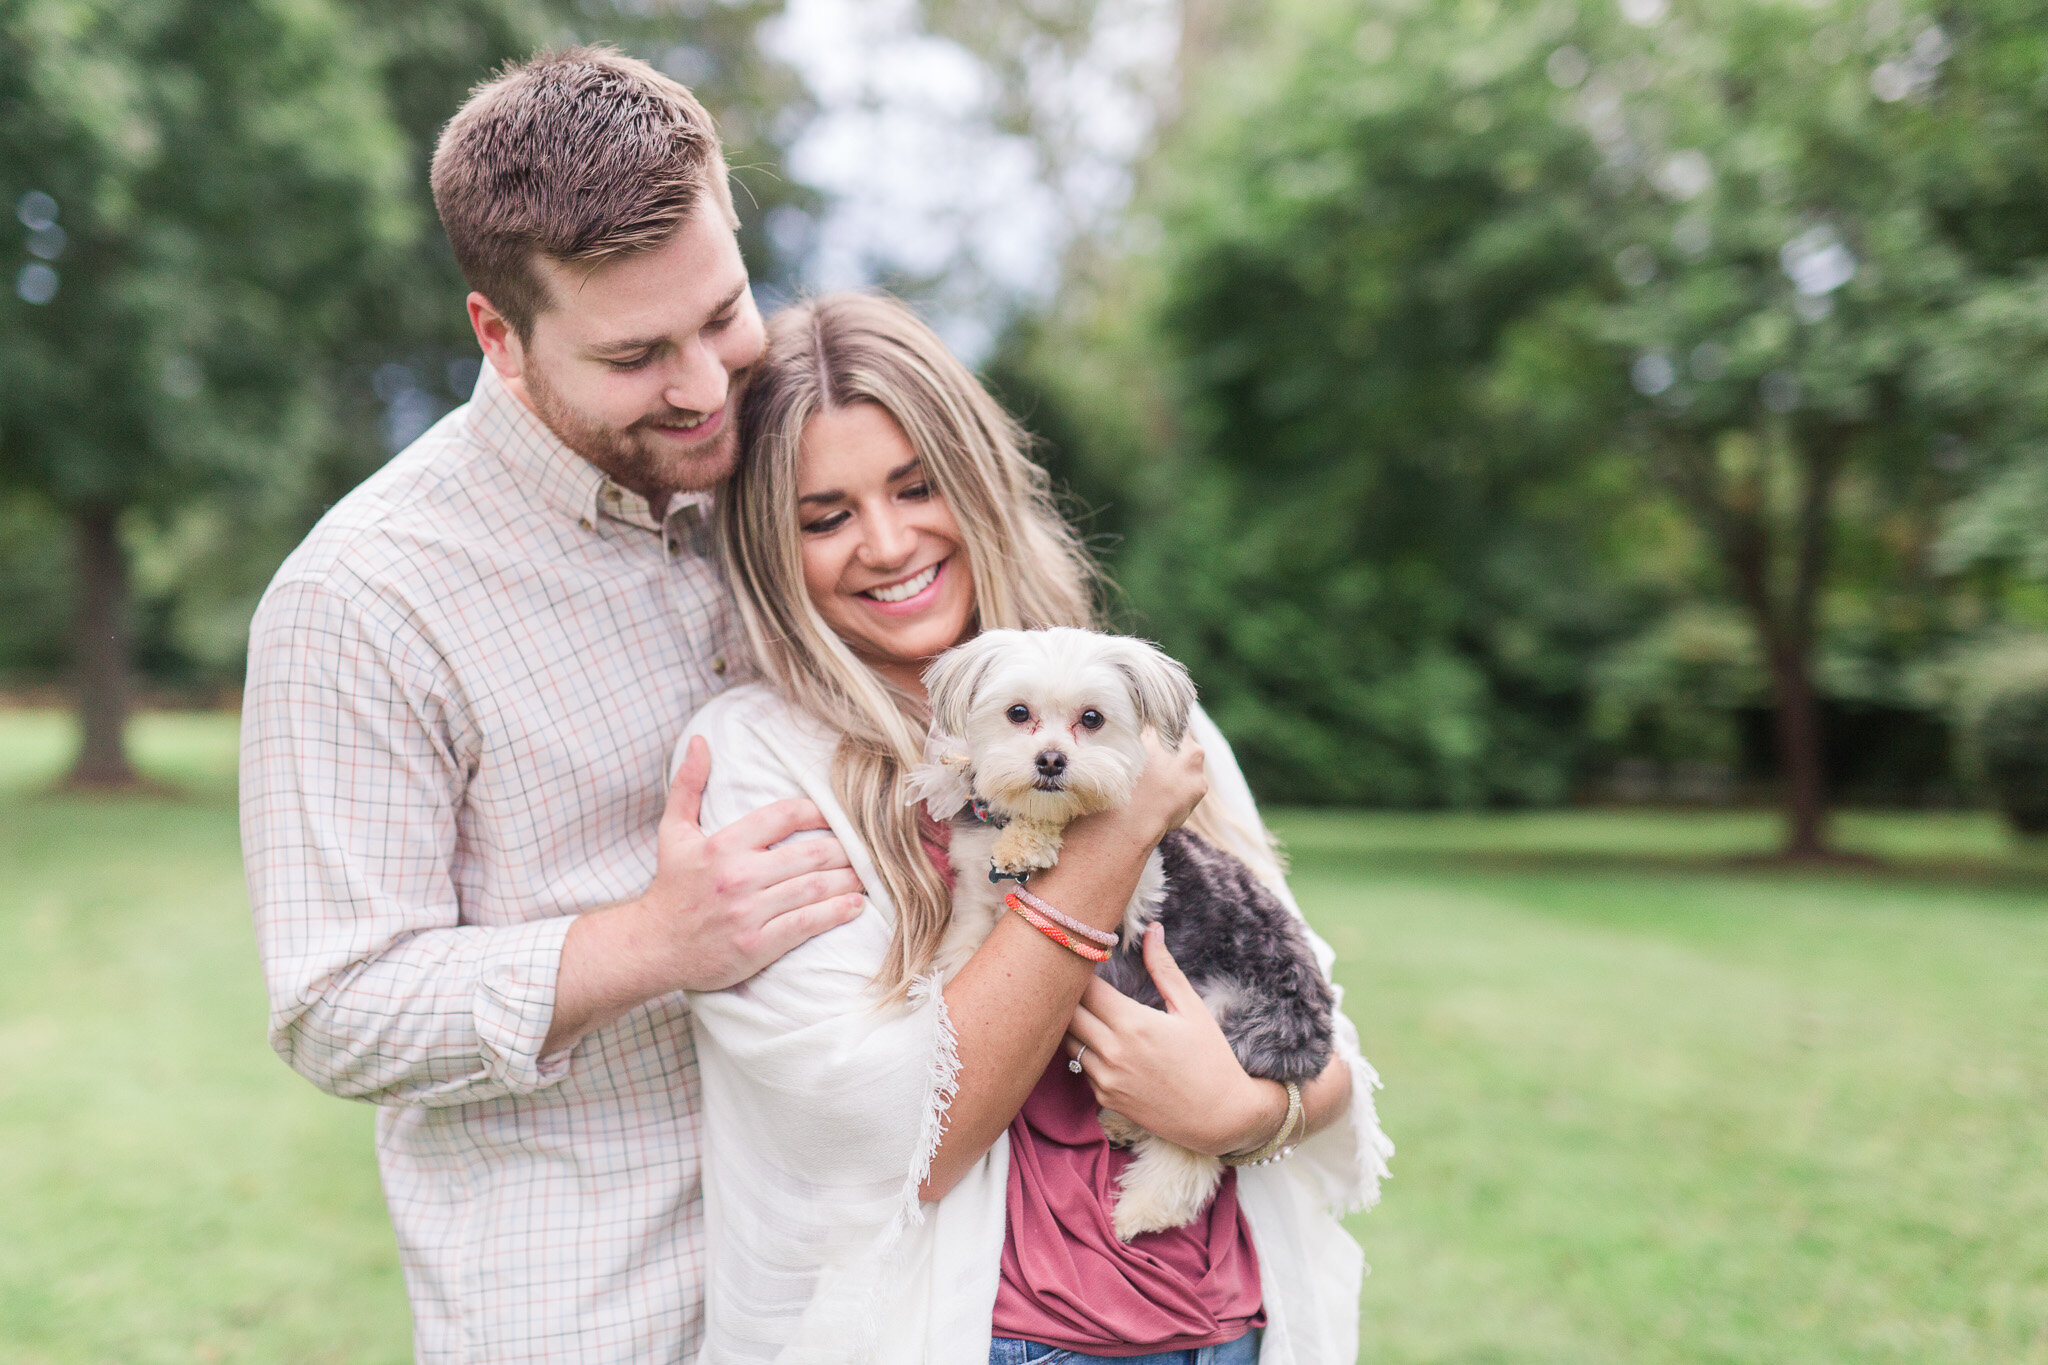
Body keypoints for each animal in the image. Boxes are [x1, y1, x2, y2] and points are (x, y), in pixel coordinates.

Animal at [909, 626, 1327, 1236]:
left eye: (1092, 718)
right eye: (1017, 713)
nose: (1051, 760)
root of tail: (1317, 1039)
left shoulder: (1141, 884)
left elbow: (1066, 829)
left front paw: (1027, 843)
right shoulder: (974, 901)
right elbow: (962, 948)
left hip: (1232, 1025)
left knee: (1194, 1147)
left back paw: (1143, 1207)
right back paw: (1126, 1124)